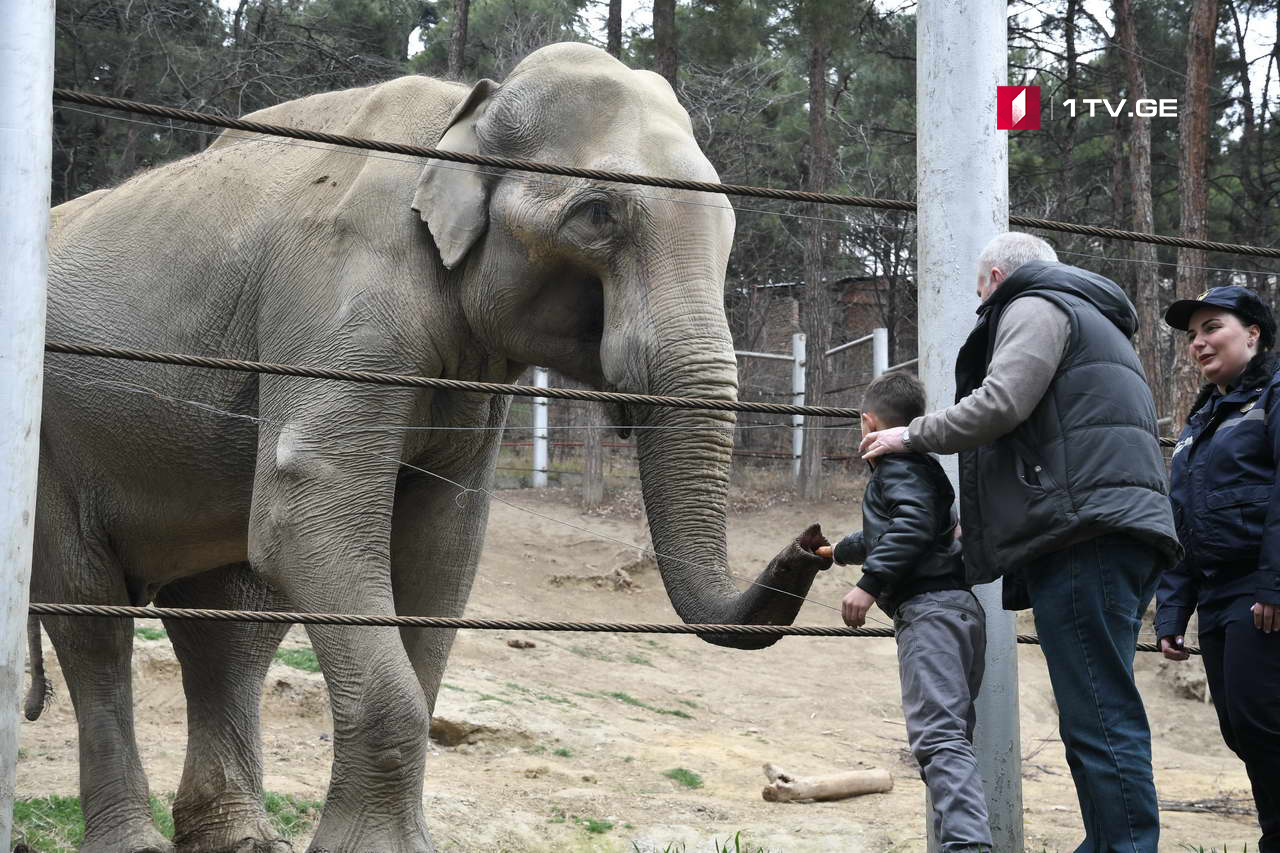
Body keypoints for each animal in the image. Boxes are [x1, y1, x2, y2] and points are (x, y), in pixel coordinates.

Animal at [30, 41, 834, 850]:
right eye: (597, 215)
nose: (814, 541)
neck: (468, 111)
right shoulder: (338, 292)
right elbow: (304, 510)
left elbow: (445, 538)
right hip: (50, 445)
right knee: (91, 616)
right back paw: (138, 839)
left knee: (229, 624)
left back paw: (243, 839)